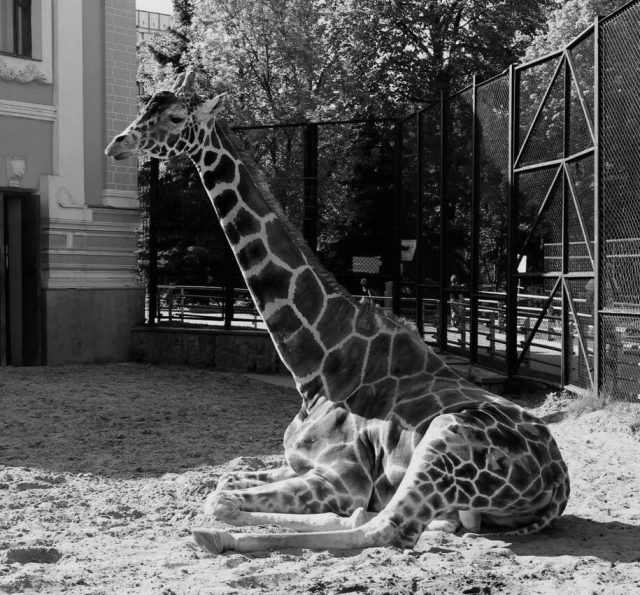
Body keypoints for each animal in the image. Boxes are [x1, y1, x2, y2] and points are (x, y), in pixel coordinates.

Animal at [106, 72, 570, 554]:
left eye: (177, 117)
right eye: (146, 107)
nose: (117, 144)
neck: (318, 366)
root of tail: (558, 484)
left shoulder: (344, 478)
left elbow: (221, 497)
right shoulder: (298, 463)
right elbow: (224, 481)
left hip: (443, 441)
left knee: (384, 527)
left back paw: (219, 538)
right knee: (383, 520)